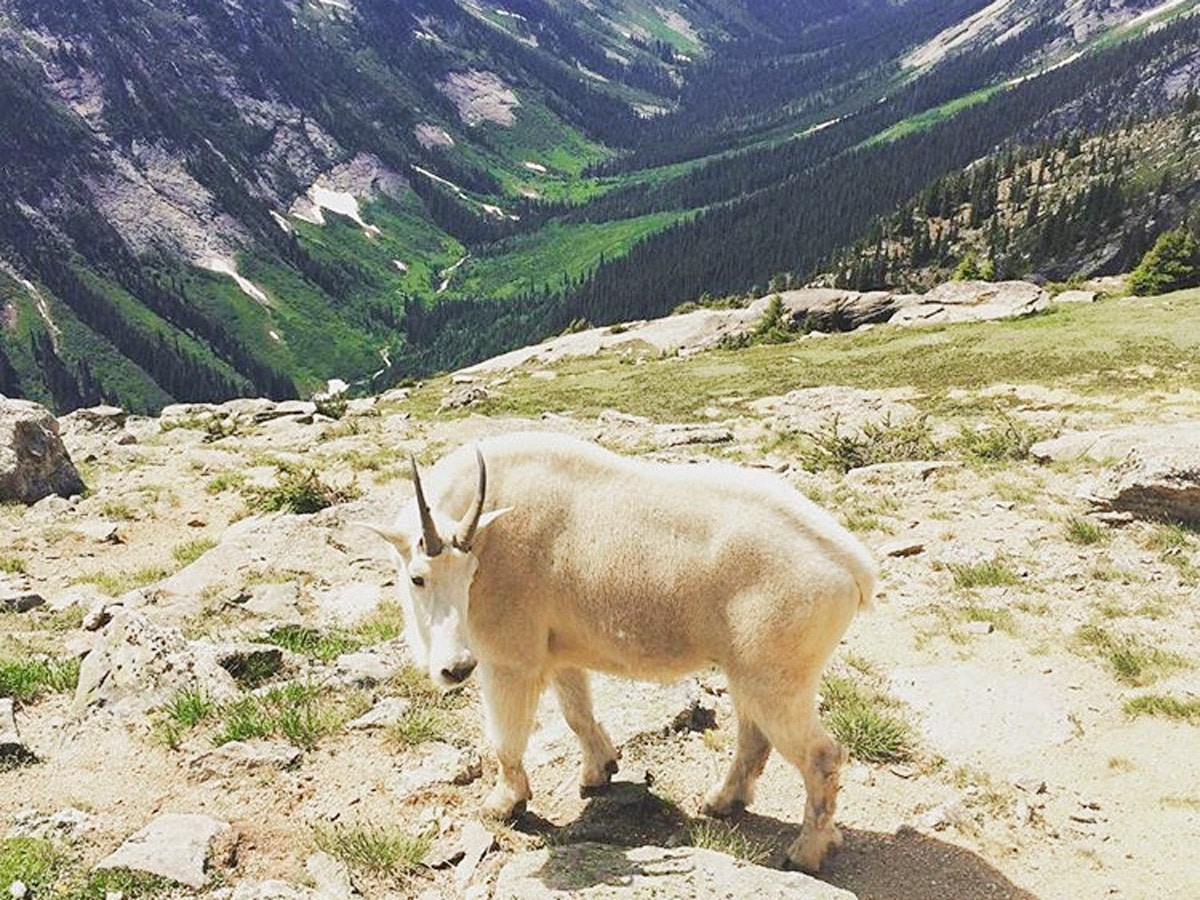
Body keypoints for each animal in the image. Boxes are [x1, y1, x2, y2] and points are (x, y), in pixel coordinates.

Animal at [364, 434, 873, 873]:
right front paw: (599, 771)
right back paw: (721, 802)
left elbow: (506, 739)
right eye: (417, 577)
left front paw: (503, 804)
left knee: (821, 755)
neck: (491, 529)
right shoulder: (560, 653)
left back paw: (807, 850)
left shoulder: (508, 659)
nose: (456, 668)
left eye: (471, 574)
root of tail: (852, 565)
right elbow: (577, 713)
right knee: (754, 737)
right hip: (748, 670)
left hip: (777, 676)